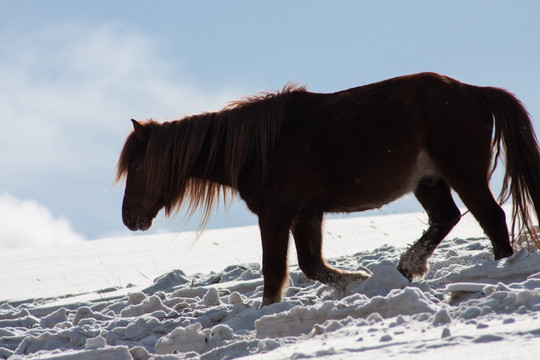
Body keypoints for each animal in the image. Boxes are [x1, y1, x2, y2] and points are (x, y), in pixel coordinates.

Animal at [115, 71, 540, 306]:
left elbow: (275, 270)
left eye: (137, 165)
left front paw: (269, 308)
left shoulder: (276, 215)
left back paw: (499, 268)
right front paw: (360, 281)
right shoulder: (307, 215)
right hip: (429, 181)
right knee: (445, 218)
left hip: (463, 174)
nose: (129, 219)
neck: (259, 148)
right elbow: (311, 265)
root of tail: (474, 90)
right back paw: (407, 267)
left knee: (491, 217)